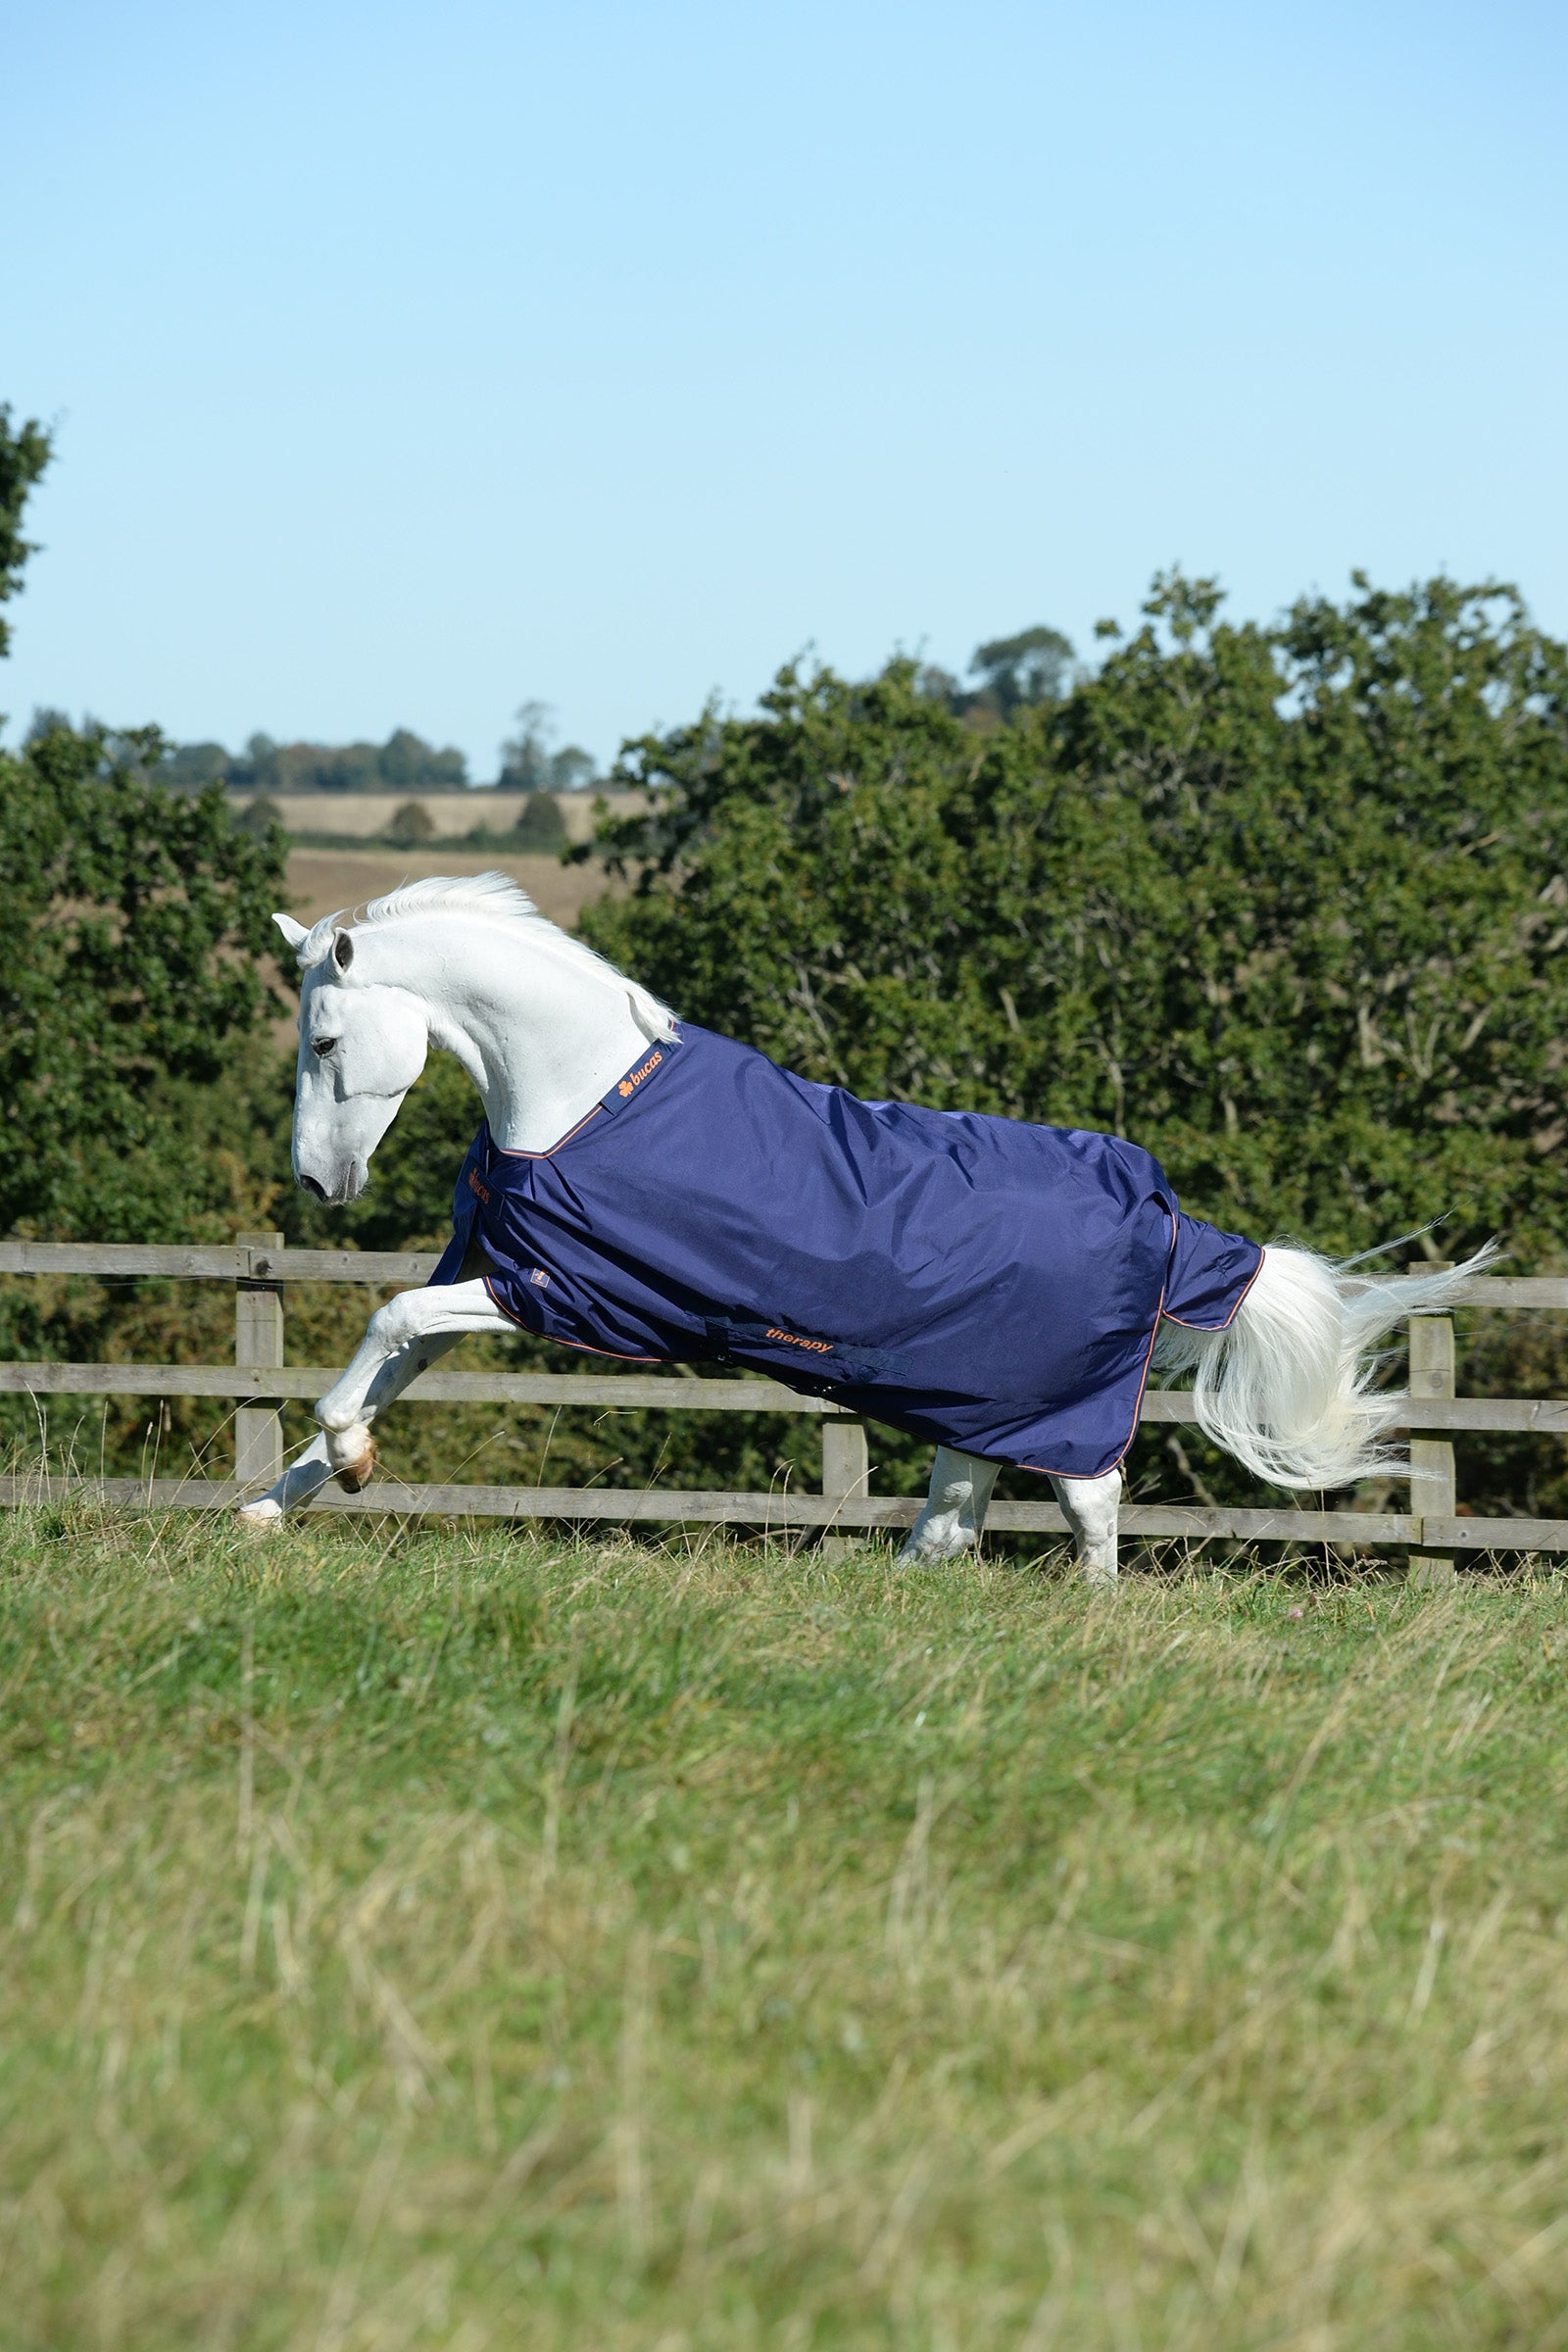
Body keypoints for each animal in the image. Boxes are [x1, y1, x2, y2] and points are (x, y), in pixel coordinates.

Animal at [240, 872, 1485, 1578]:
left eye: (325, 1042)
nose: (315, 1184)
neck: (583, 1100)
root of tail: (1170, 1222)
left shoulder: (560, 1296)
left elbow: (389, 1325)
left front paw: (342, 1460)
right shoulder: (495, 1277)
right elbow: (391, 1356)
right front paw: (275, 1505)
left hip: (1051, 1414)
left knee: (1089, 1516)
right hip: (978, 1405)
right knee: (951, 1524)